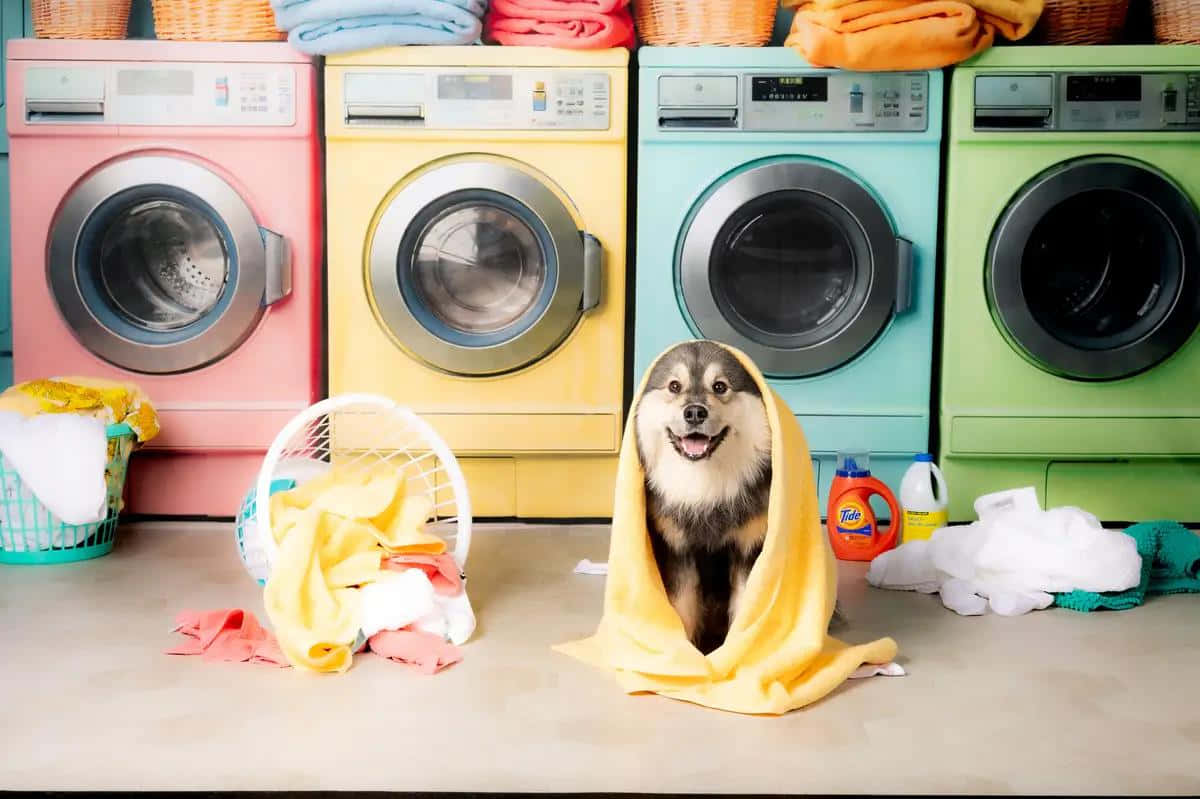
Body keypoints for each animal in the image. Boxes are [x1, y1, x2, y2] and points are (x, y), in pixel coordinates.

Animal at [633, 338, 772, 652]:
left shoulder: (749, 548)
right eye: (674, 386)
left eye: (720, 386)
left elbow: (744, 609)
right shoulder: (678, 550)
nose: (695, 413)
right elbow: (683, 609)